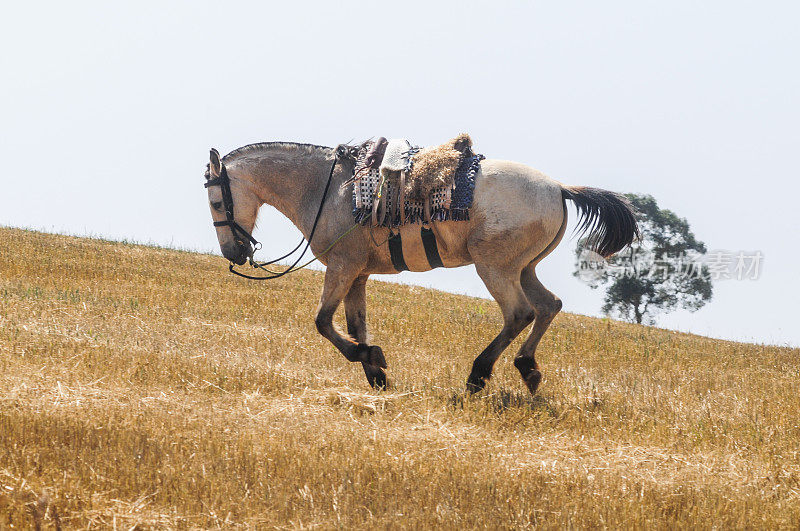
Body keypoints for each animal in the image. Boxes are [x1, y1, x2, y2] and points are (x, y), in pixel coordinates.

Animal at [205, 141, 636, 394]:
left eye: (215, 202)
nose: (233, 253)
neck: (327, 190)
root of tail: (558, 188)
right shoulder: (358, 273)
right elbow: (355, 325)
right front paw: (375, 371)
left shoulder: (342, 267)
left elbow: (324, 323)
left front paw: (370, 359)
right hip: (524, 268)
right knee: (549, 306)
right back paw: (527, 369)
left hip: (495, 268)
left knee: (520, 313)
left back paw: (478, 375)